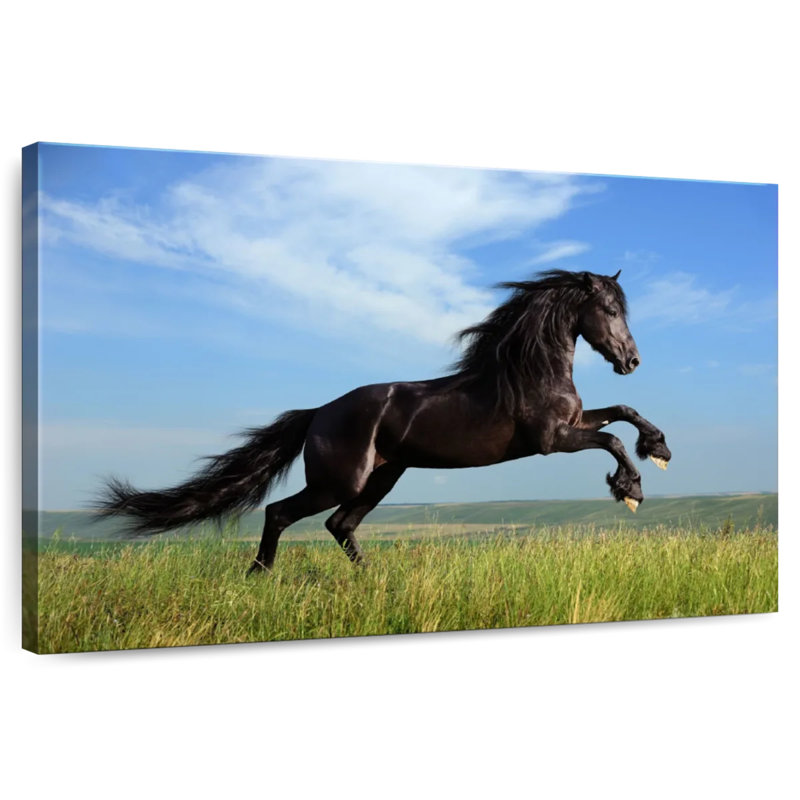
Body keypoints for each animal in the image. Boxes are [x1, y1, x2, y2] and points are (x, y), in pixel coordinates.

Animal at [97, 269, 672, 574]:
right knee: (283, 513)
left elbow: (624, 413)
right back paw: (259, 575)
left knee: (340, 525)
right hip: (339, 481)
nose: (632, 361)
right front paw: (631, 489)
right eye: (610, 311)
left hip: (383, 477)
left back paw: (372, 578)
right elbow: (612, 439)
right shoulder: (553, 439)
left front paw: (659, 450)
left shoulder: (572, 423)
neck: (530, 370)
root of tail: (318, 413)